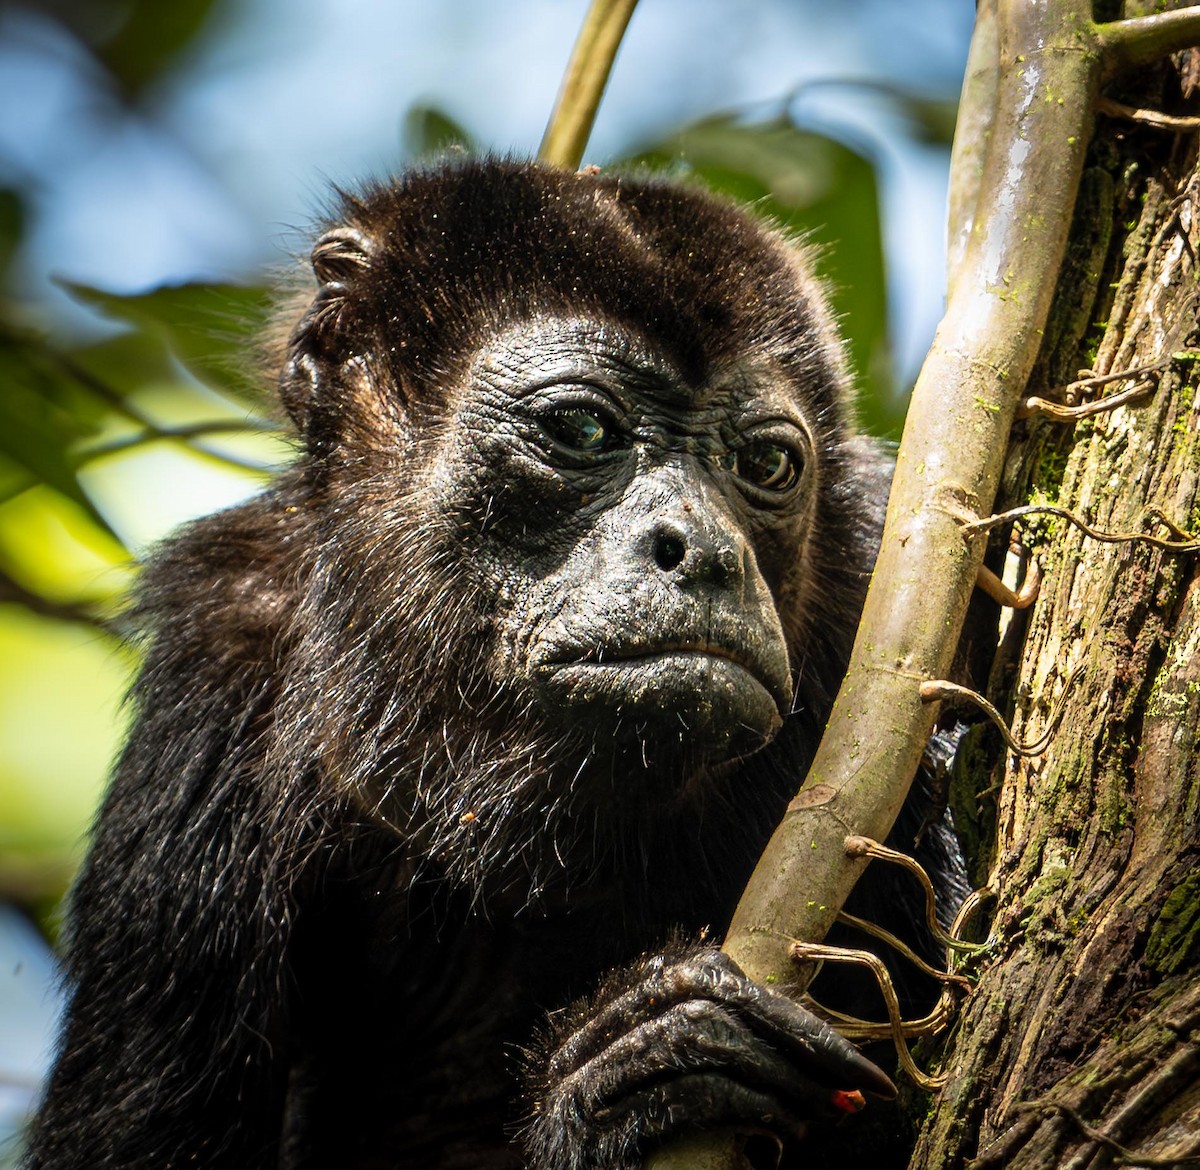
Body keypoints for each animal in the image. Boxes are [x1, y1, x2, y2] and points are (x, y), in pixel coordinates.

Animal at [23, 157, 953, 1170]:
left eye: (768, 465)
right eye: (581, 429)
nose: (706, 552)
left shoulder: (876, 591)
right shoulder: (220, 655)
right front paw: (631, 1076)